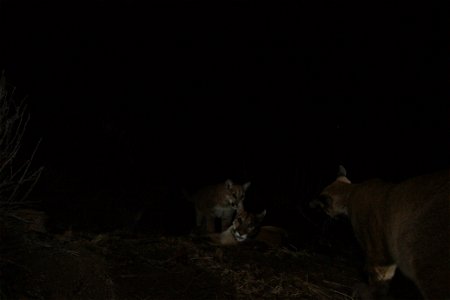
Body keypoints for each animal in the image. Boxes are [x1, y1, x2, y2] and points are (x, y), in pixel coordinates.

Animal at [312, 165, 450, 298]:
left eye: (323, 209)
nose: (326, 217)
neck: (351, 192)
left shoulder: (378, 253)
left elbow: (379, 279)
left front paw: (367, 292)